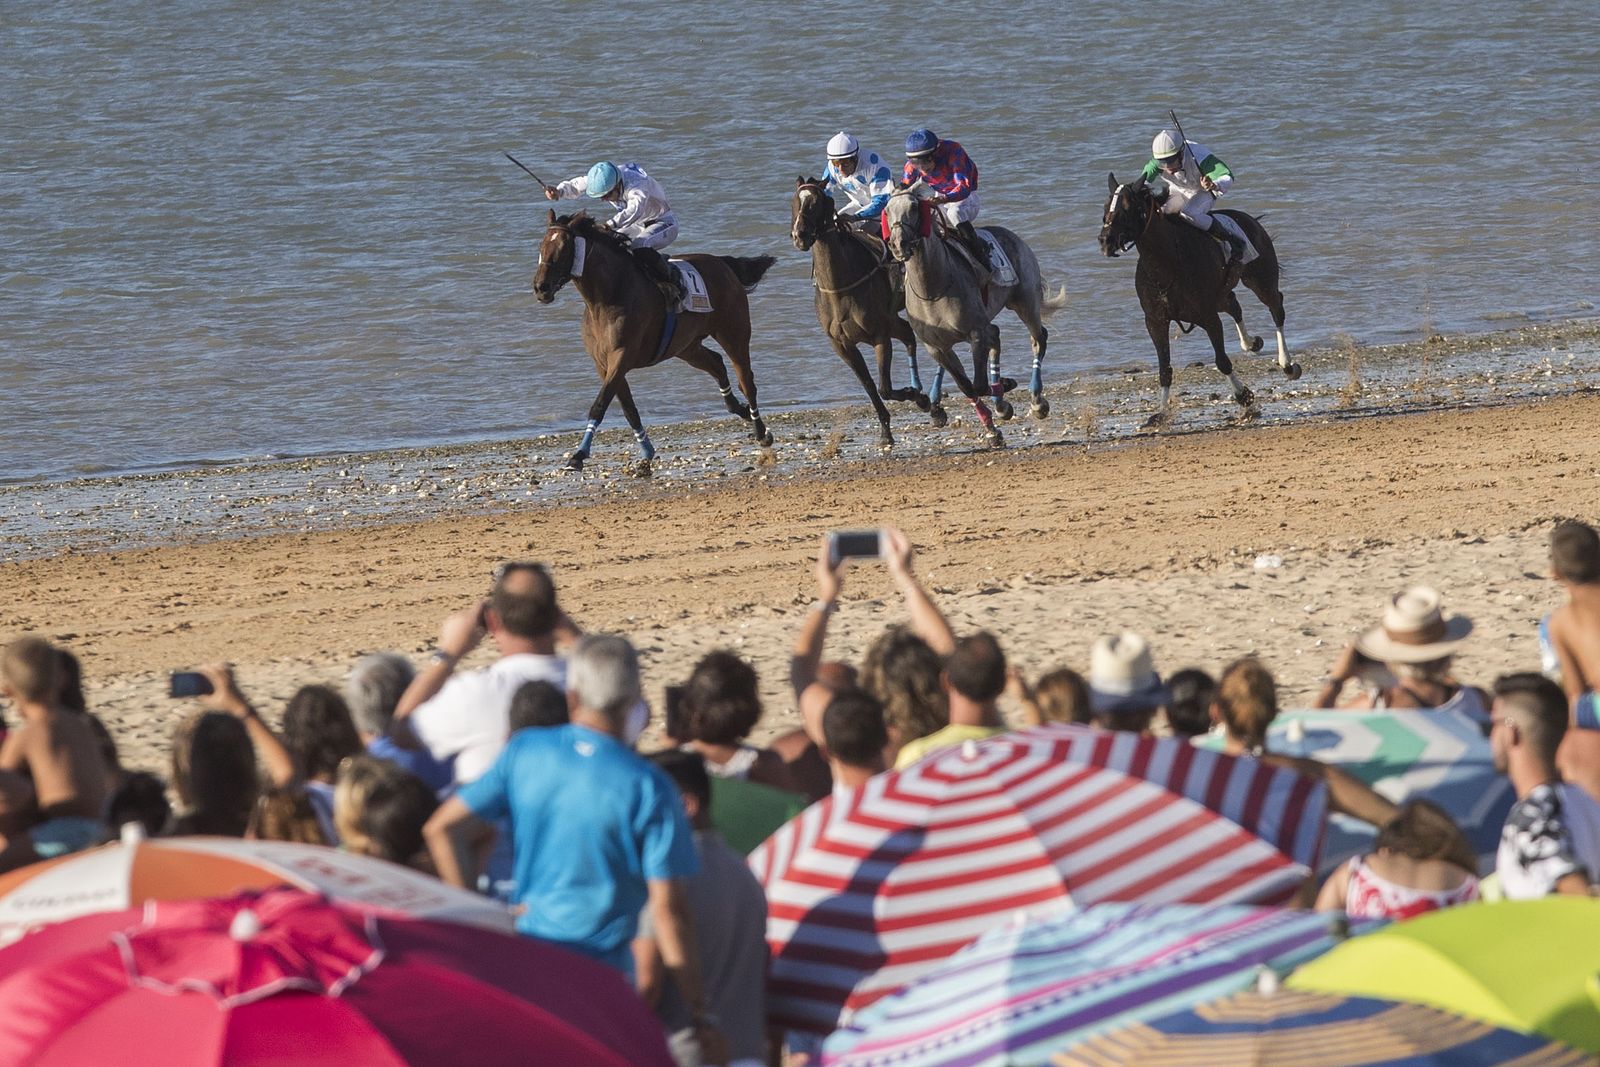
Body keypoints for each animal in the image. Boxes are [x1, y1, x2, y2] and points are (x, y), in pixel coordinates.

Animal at [532, 210, 776, 471]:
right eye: (541, 246)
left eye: (564, 247)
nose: (540, 287)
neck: (608, 297)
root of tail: (723, 263)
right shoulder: (603, 363)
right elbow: (628, 409)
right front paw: (646, 451)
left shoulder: (622, 356)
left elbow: (600, 404)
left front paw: (579, 454)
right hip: (686, 346)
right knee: (717, 364)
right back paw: (740, 410)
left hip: (733, 333)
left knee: (746, 381)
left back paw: (761, 432)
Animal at [790, 177, 931, 446]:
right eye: (795, 201)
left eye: (818, 202)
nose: (800, 235)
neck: (839, 288)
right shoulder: (842, 344)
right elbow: (869, 385)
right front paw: (885, 431)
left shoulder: (880, 335)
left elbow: (884, 387)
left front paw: (916, 397)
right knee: (908, 333)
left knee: (909, 336)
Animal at [881, 184, 1067, 448]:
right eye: (887, 210)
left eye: (915, 207)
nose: (898, 244)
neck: (933, 289)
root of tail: (1013, 236)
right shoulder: (936, 347)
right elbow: (967, 386)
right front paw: (992, 428)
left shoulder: (975, 333)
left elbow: (978, 385)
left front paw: (1005, 389)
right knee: (997, 335)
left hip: (1025, 302)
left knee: (1038, 339)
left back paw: (1037, 401)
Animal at [1097, 173, 1299, 426]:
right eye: (1106, 206)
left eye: (1127, 207)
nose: (1105, 240)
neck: (1166, 263)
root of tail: (1250, 219)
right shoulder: (1155, 321)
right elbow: (1165, 368)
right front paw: (1161, 412)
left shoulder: (1208, 316)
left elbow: (1222, 361)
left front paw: (1244, 397)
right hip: (1221, 294)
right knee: (1234, 305)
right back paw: (1251, 342)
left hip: (1260, 279)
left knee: (1276, 307)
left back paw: (1287, 364)